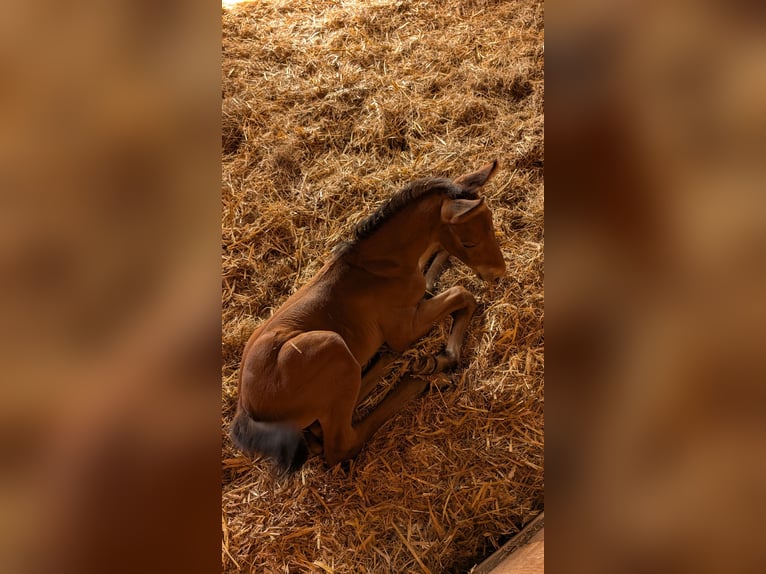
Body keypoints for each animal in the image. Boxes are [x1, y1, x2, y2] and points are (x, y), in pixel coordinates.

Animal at [230, 160, 506, 473]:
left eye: (492, 222)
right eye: (469, 242)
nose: (498, 273)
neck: (378, 264)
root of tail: (245, 411)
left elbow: (432, 272)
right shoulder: (403, 330)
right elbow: (463, 294)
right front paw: (444, 357)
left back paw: (397, 363)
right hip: (330, 347)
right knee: (340, 444)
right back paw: (419, 378)